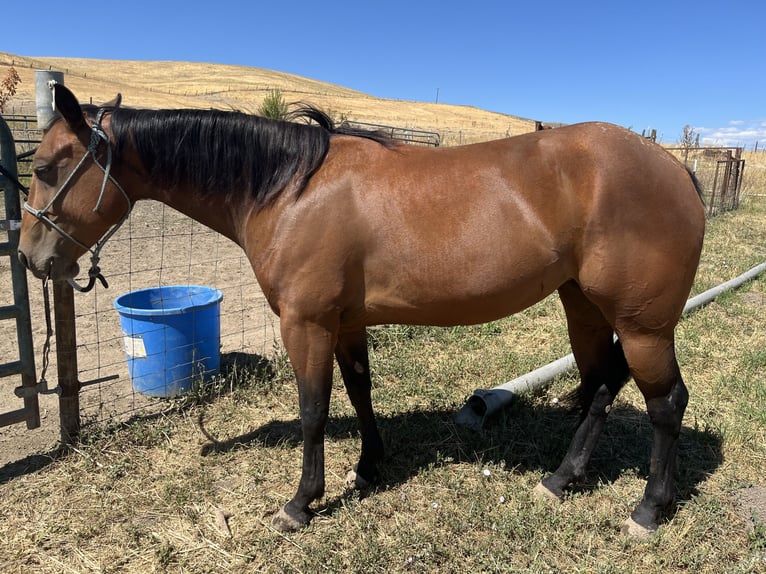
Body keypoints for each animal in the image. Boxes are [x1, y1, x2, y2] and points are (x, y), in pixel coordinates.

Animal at [18, 86, 704, 540]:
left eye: (46, 168)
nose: (30, 257)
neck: (289, 188)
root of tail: (675, 168)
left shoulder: (306, 324)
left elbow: (313, 411)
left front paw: (301, 502)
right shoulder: (345, 323)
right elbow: (358, 390)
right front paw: (371, 466)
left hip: (643, 325)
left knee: (665, 402)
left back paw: (649, 508)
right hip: (583, 306)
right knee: (600, 387)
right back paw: (561, 480)